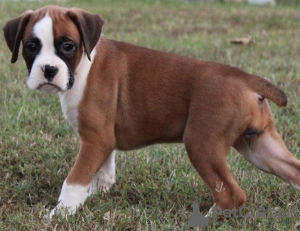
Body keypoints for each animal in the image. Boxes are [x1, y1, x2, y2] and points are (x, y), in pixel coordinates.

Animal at [2, 5, 300, 218]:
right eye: (31, 47)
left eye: (67, 46)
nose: (49, 70)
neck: (83, 64)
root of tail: (245, 78)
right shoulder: (102, 140)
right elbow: (102, 172)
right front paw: (94, 195)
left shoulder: (95, 139)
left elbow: (74, 179)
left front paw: (61, 213)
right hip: (260, 146)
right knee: (293, 170)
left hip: (202, 145)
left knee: (232, 195)